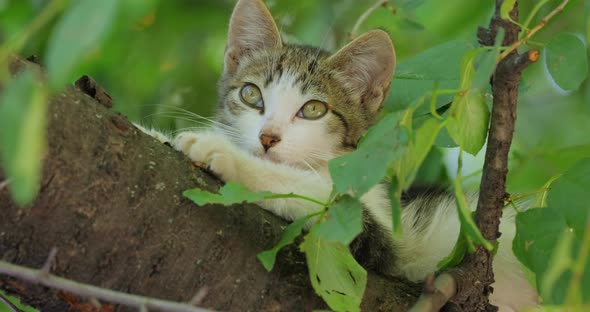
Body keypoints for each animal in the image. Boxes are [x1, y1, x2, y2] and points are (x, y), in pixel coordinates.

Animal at [141, 0, 540, 310]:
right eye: (251, 95)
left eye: (313, 110)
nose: (267, 137)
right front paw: (154, 134)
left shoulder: (380, 236)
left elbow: (308, 192)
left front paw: (220, 151)